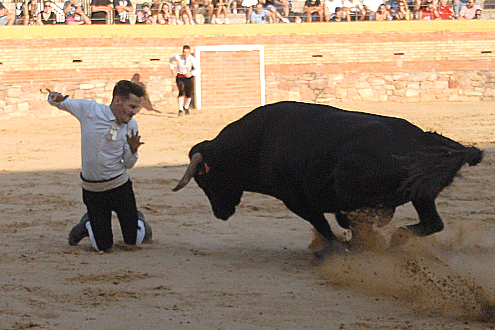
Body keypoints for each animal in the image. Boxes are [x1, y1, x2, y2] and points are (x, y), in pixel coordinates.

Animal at [174, 102, 484, 249]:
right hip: (422, 195)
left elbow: (323, 224)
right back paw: (394, 241)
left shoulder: (297, 200)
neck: (257, 142)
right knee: (432, 223)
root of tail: (422, 141)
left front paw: (333, 246)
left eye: (205, 181)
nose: (220, 214)